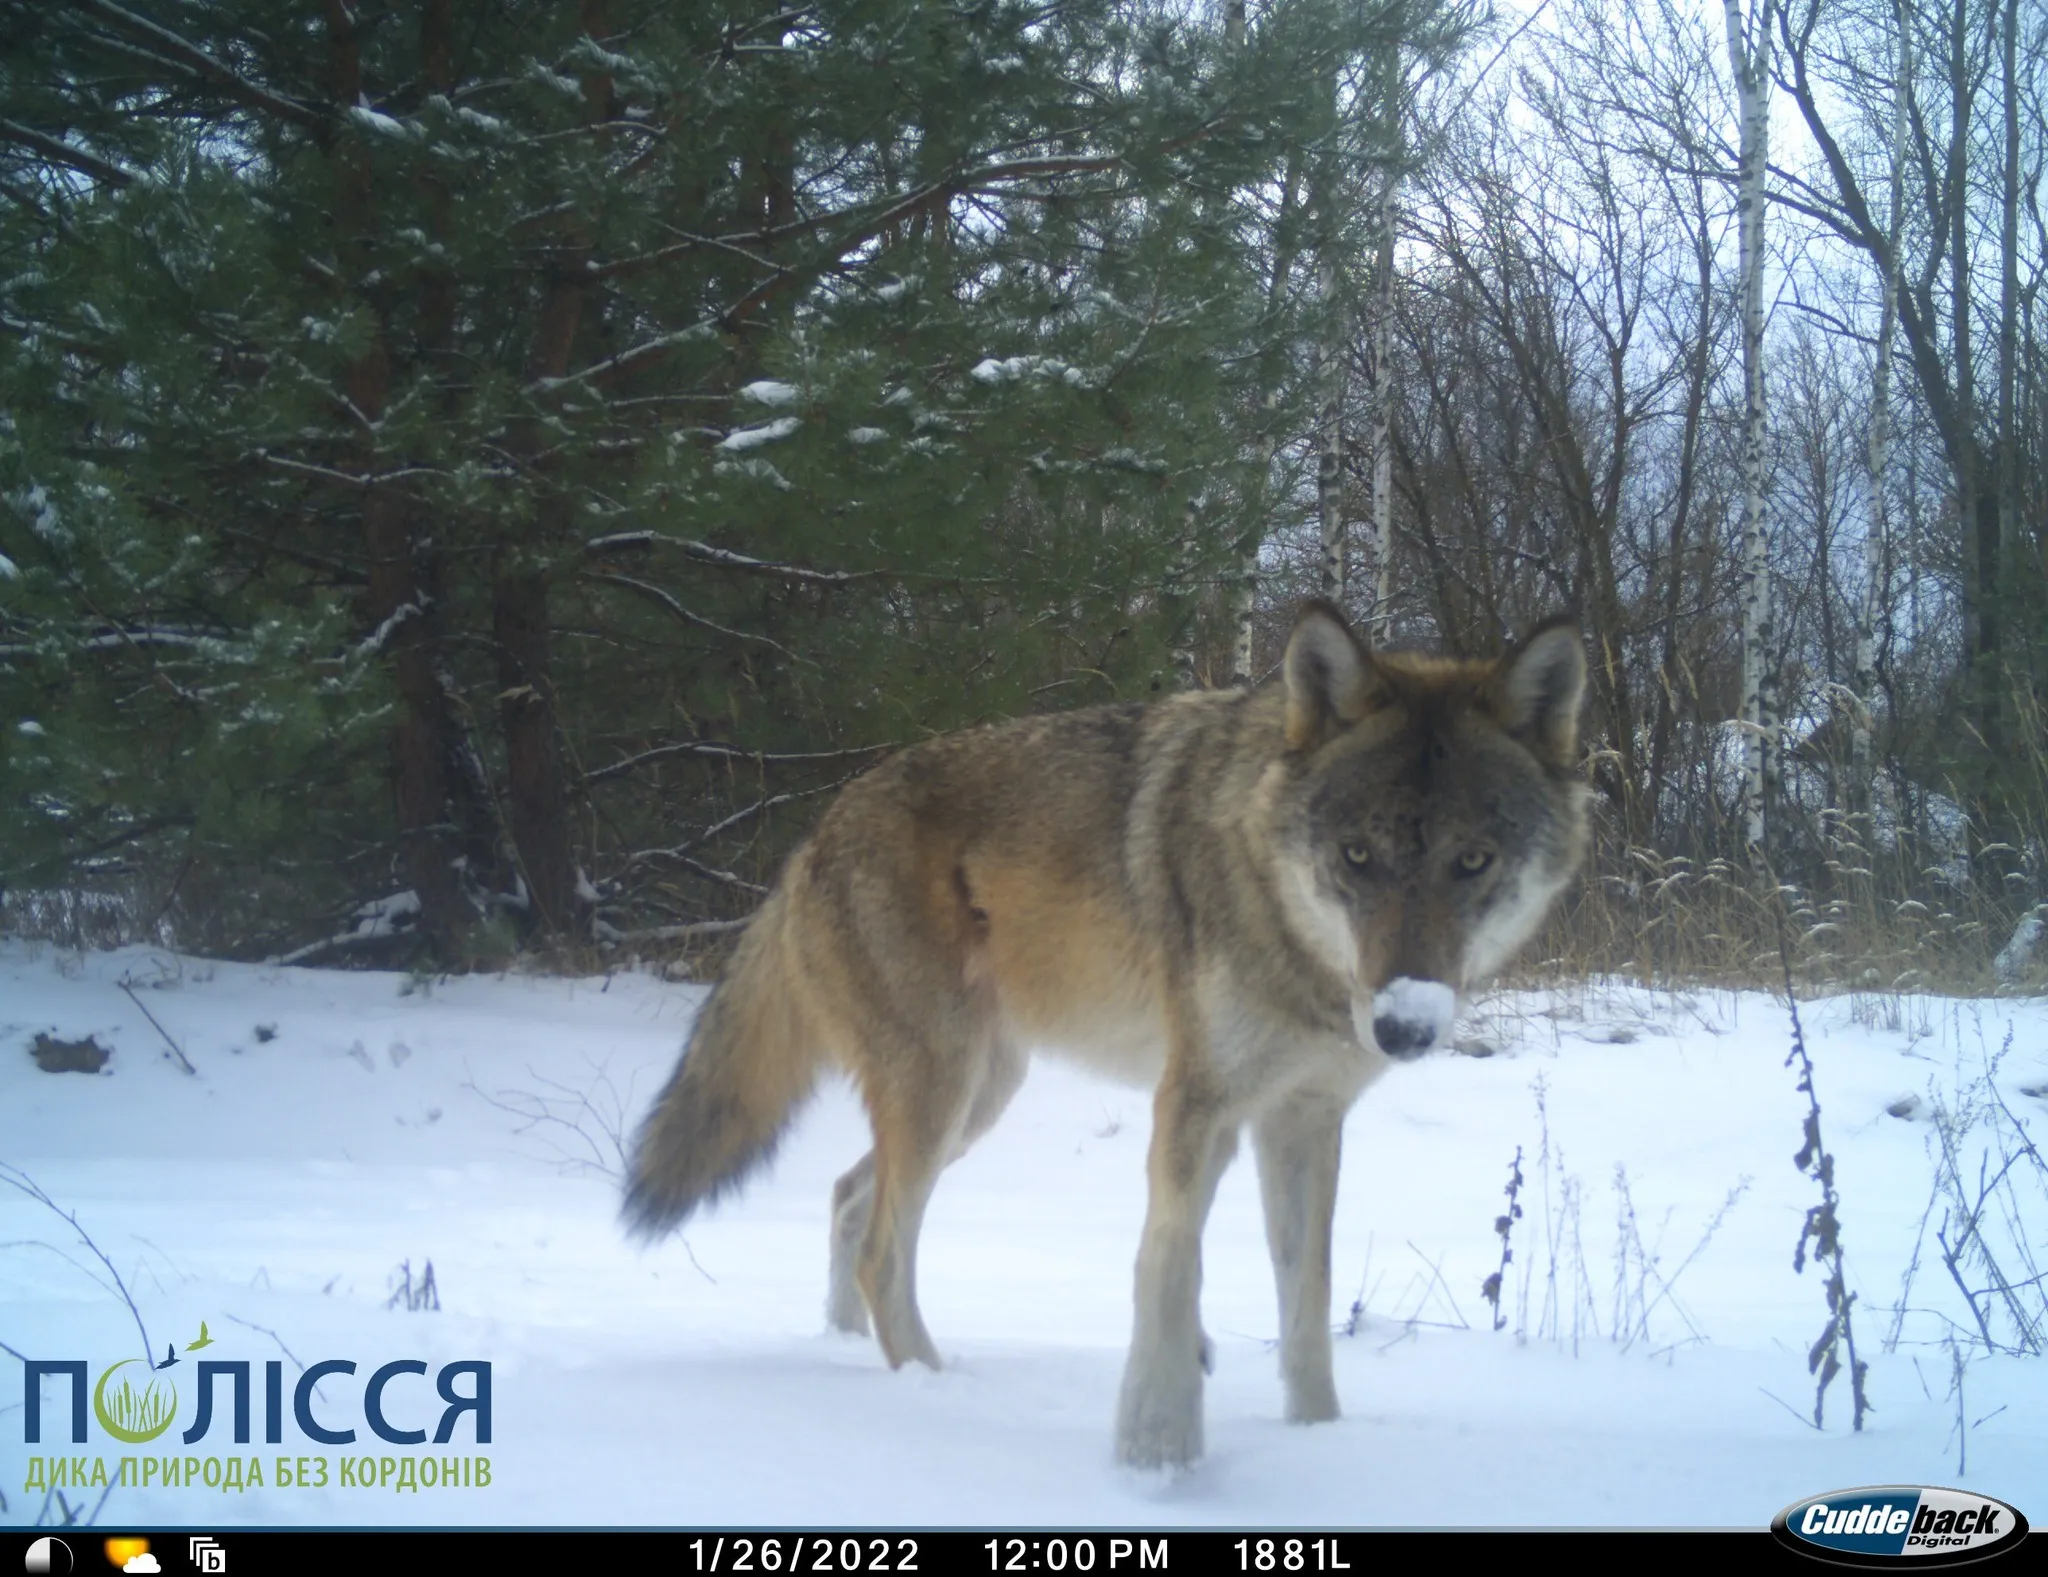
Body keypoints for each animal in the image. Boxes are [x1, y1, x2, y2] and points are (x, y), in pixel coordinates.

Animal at [622, 598, 1597, 1458]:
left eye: (1473, 861)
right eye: (1357, 856)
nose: (1403, 1027)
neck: (1291, 939)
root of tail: (812, 836)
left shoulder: (1303, 1120)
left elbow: (1306, 1305)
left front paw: (1319, 1438)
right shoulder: (1196, 1102)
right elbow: (1168, 1269)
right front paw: (1158, 1441)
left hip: (978, 1098)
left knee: (846, 1198)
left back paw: (851, 1355)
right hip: (944, 1092)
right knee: (880, 1248)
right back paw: (936, 1392)